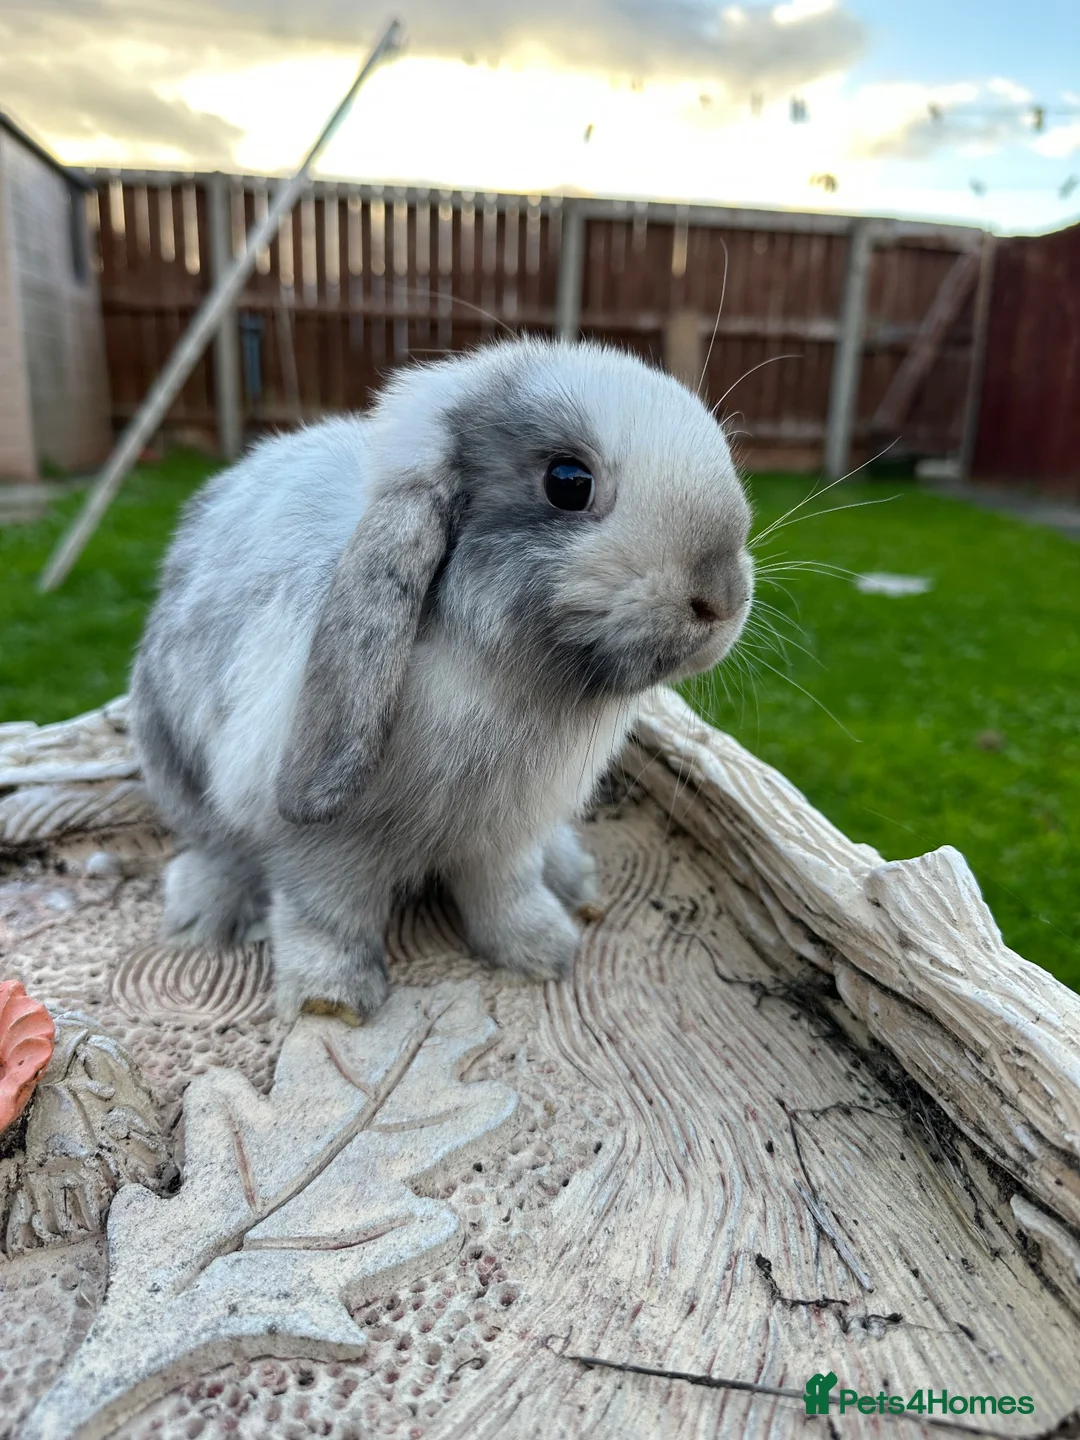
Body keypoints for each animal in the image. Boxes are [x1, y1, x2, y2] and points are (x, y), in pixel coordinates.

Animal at [129, 337, 754, 1022]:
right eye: (568, 483)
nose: (722, 600)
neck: (505, 677)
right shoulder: (319, 849)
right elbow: (328, 915)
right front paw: (332, 1000)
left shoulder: (505, 840)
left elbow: (507, 895)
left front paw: (544, 952)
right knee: (213, 848)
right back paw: (203, 916)